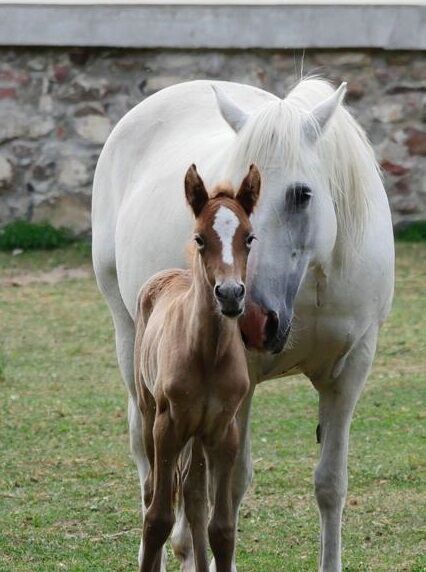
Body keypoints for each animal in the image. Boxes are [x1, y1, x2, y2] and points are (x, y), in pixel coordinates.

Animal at [135, 163, 262, 572]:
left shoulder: (223, 431)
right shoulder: (167, 425)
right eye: (200, 238)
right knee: (153, 491)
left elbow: (220, 527)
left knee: (192, 494)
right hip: (149, 411)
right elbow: (157, 518)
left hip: (199, 434)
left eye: (249, 237)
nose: (231, 295)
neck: (207, 354)